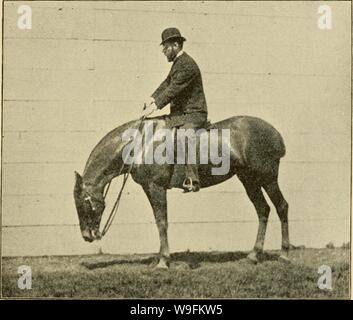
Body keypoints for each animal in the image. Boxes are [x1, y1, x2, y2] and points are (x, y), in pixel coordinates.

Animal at [73, 115, 288, 268]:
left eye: (84, 203)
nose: (86, 236)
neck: (140, 144)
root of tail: (276, 134)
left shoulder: (156, 187)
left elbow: (162, 222)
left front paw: (163, 261)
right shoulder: (149, 188)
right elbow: (159, 220)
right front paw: (160, 258)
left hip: (267, 178)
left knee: (281, 207)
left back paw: (284, 254)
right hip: (249, 180)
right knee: (263, 210)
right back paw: (253, 255)